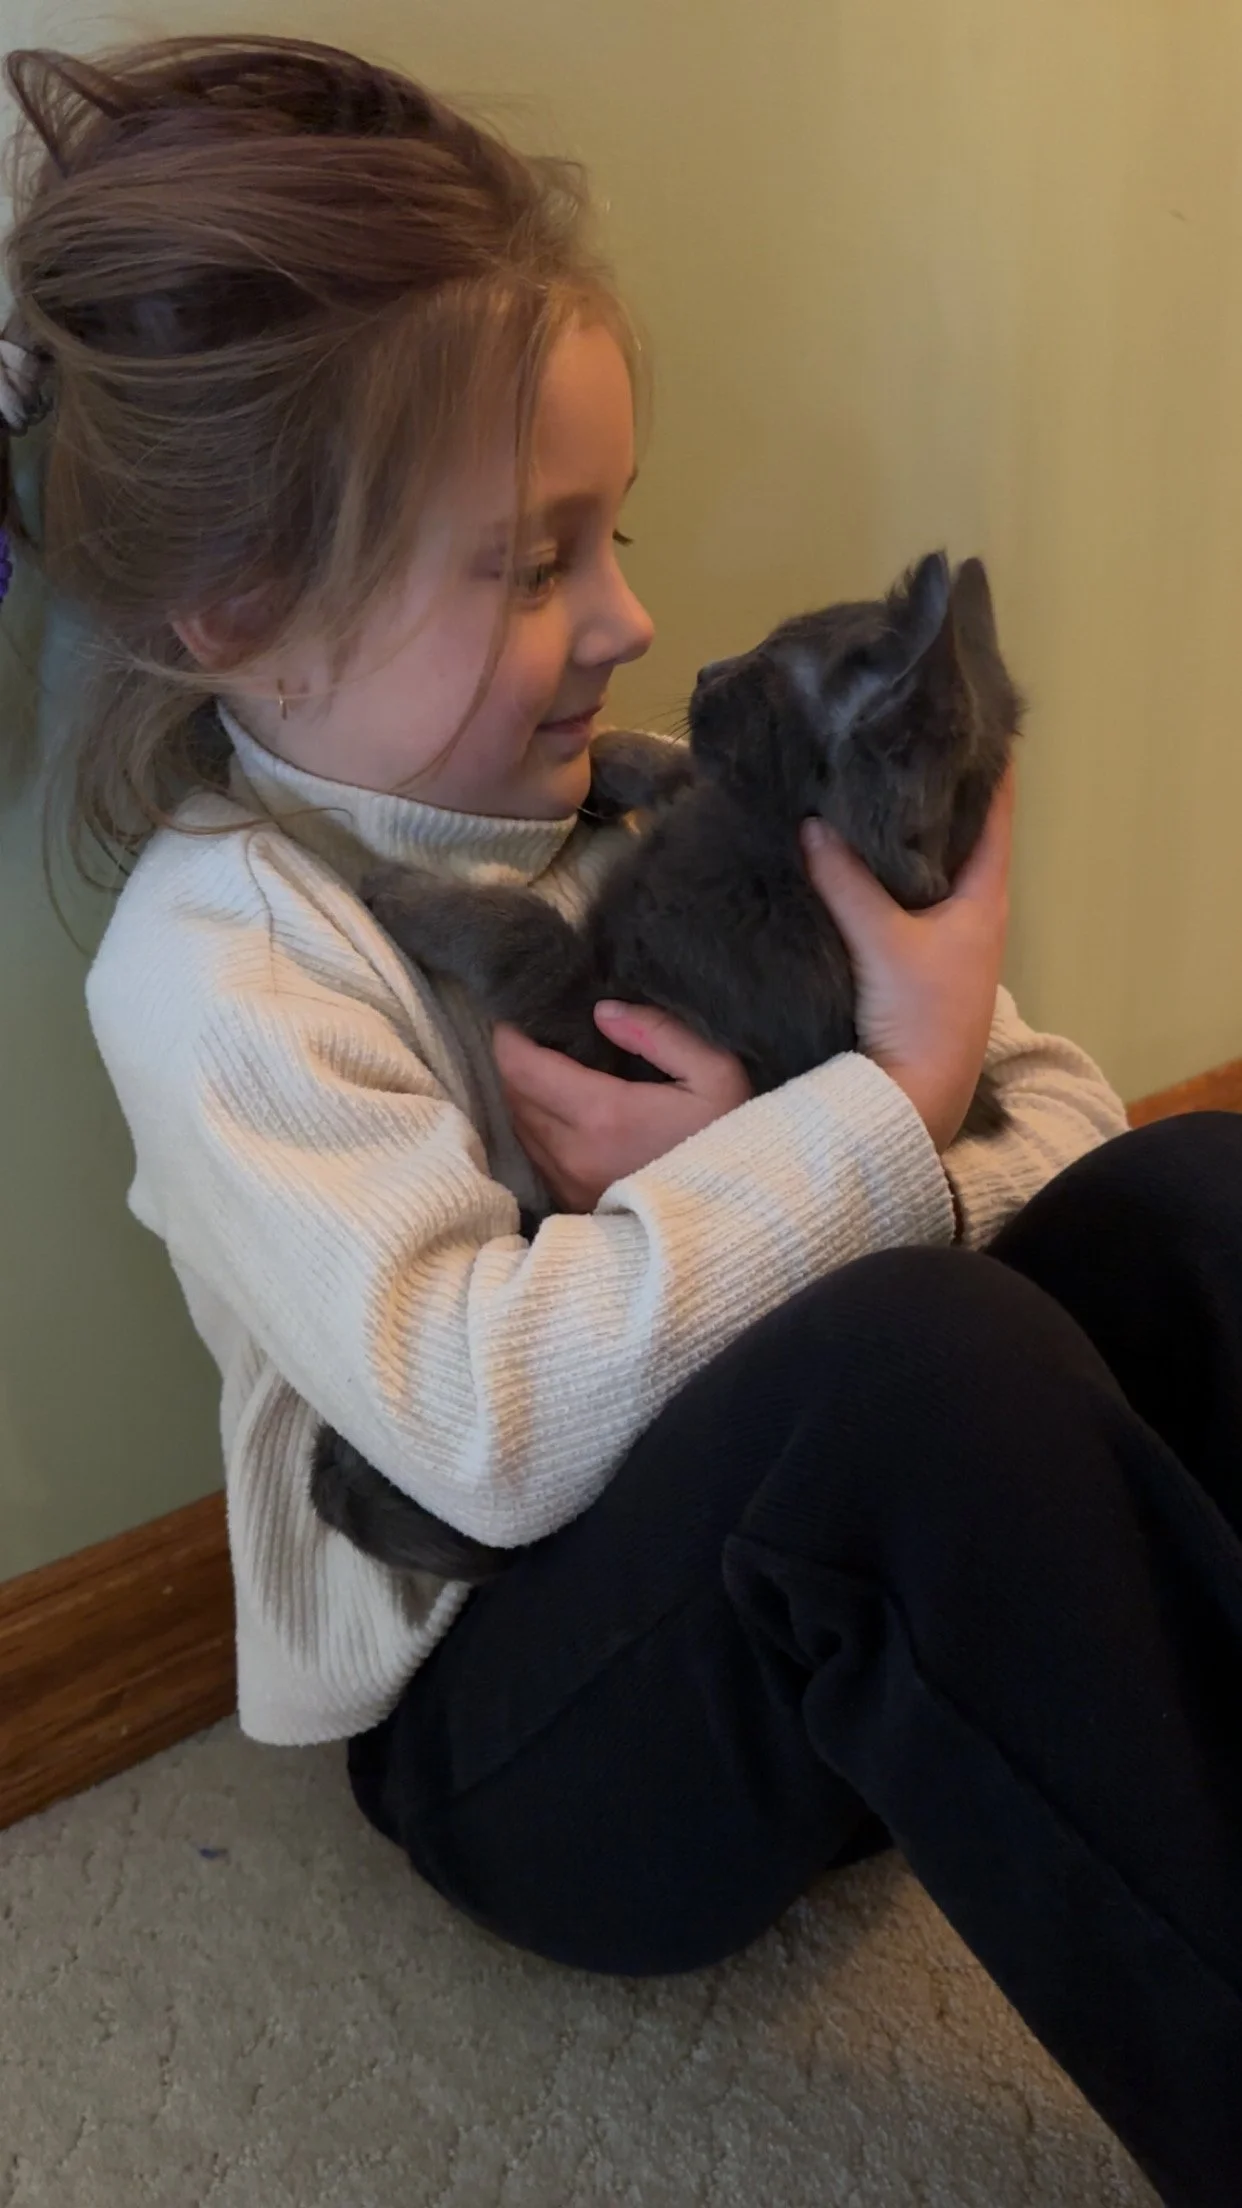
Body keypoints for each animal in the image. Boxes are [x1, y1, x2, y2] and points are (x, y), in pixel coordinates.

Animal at [309, 549, 1023, 1585]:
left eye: (765, 666)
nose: (703, 668)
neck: (769, 854)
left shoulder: (611, 1018)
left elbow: (526, 931)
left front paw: (403, 891)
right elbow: (680, 773)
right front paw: (613, 759)